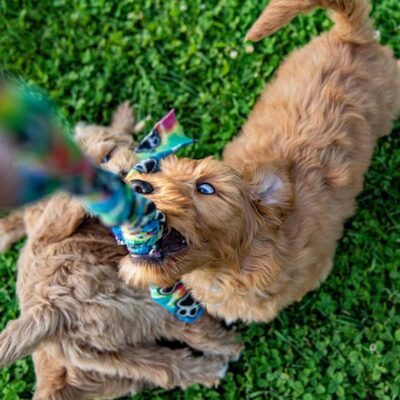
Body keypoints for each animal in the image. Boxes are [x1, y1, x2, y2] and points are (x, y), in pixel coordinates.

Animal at [0, 105, 241, 400]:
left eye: (107, 155)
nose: (125, 180)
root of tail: (51, 311)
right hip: (137, 306)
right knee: (187, 329)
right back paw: (228, 347)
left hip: (112, 362)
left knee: (163, 369)